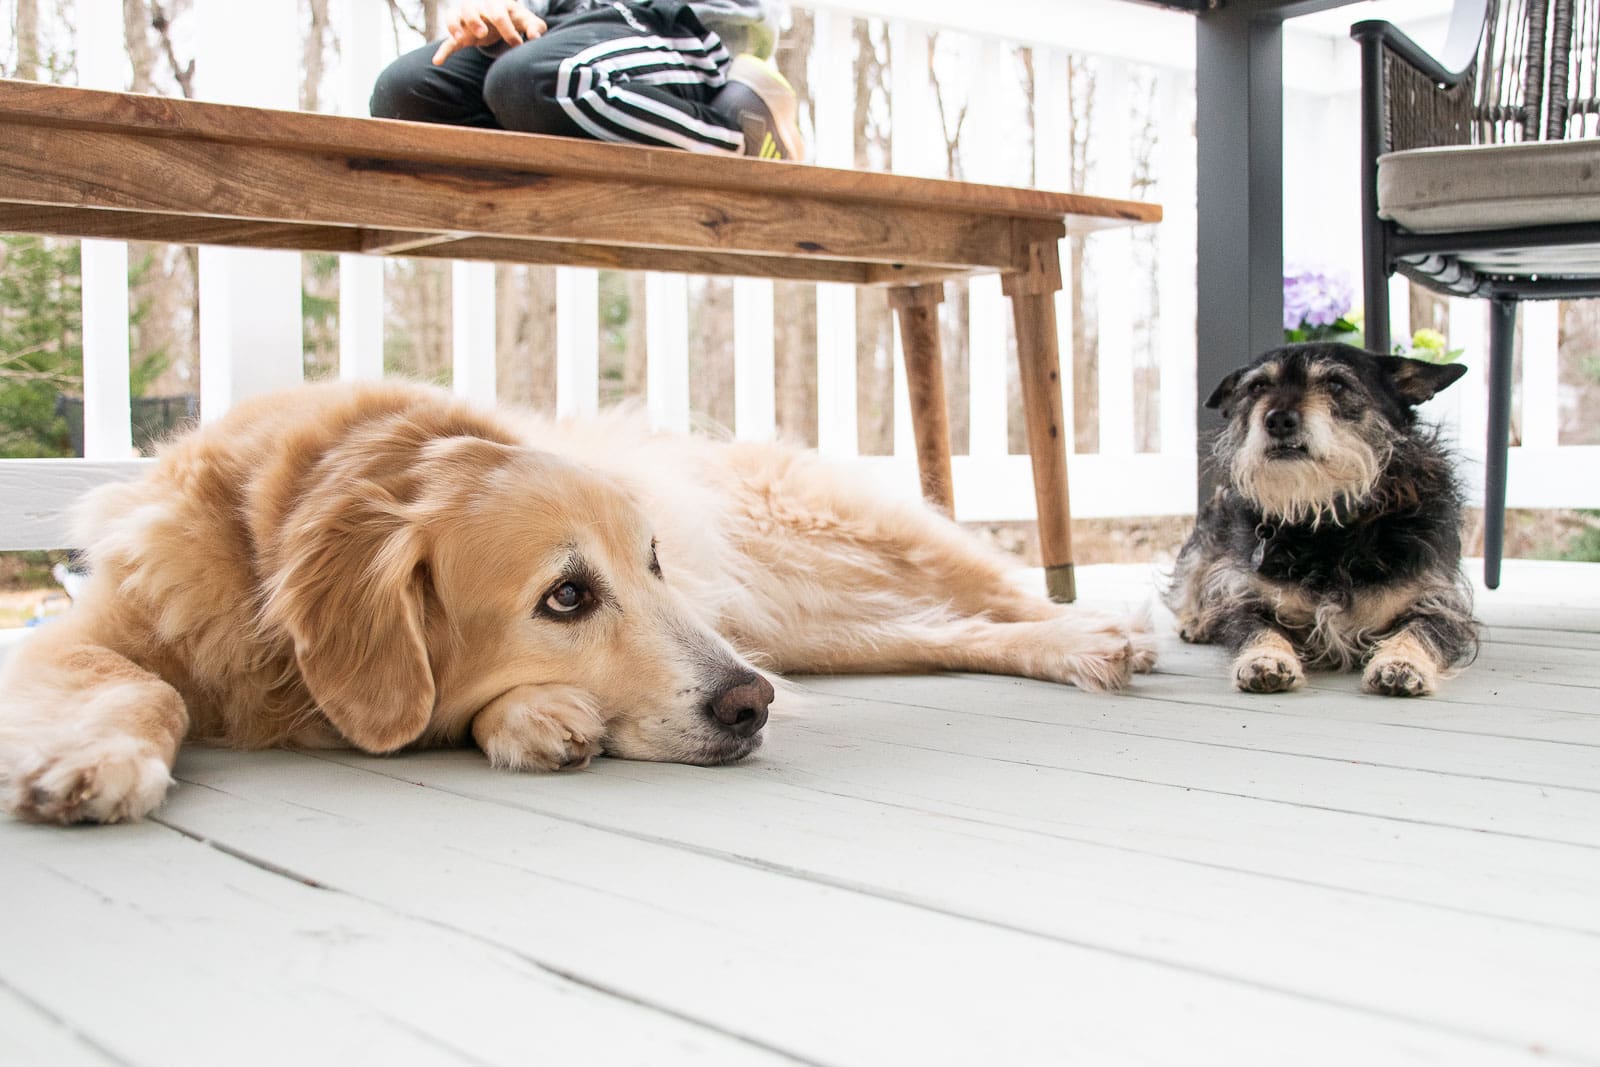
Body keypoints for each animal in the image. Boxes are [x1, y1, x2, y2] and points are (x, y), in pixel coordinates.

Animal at [0, 379, 1152, 825]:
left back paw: (1097, 631)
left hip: (822, 570)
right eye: (565, 595)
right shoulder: (89, 633)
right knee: (950, 628)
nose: (751, 706)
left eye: (652, 563)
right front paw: (97, 759)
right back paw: (1083, 640)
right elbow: (142, 686)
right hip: (811, 631)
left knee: (984, 593)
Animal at [1171, 337, 1478, 697]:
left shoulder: (1437, 601)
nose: (1278, 420)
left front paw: (1401, 663)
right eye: (1257, 387)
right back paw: (1198, 621)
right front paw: (1265, 659)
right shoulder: (1246, 597)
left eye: (1336, 383)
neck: (1327, 525)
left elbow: (1421, 631)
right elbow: (1254, 628)